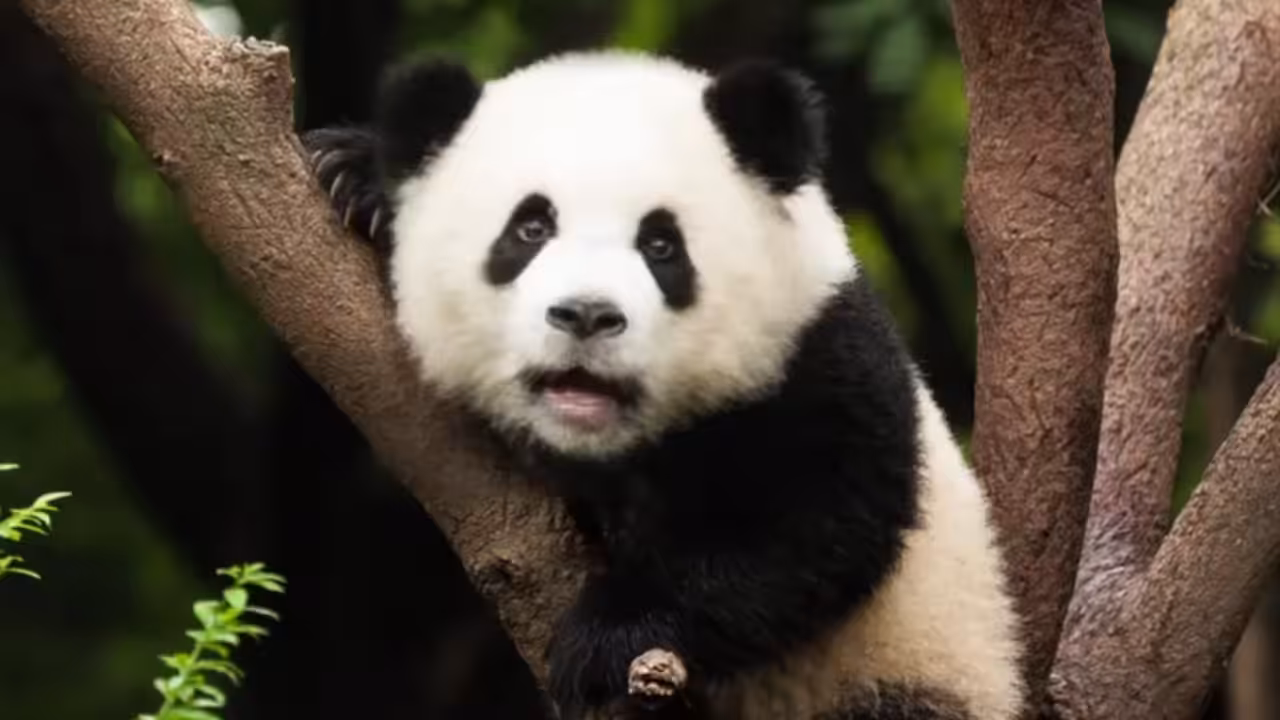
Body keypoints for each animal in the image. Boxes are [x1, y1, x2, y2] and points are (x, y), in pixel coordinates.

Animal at [301, 50, 1023, 720]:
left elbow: (818, 527)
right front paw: (355, 177)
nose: (587, 314)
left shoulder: (819, 352)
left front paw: (608, 635)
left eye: (660, 245)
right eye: (530, 229)